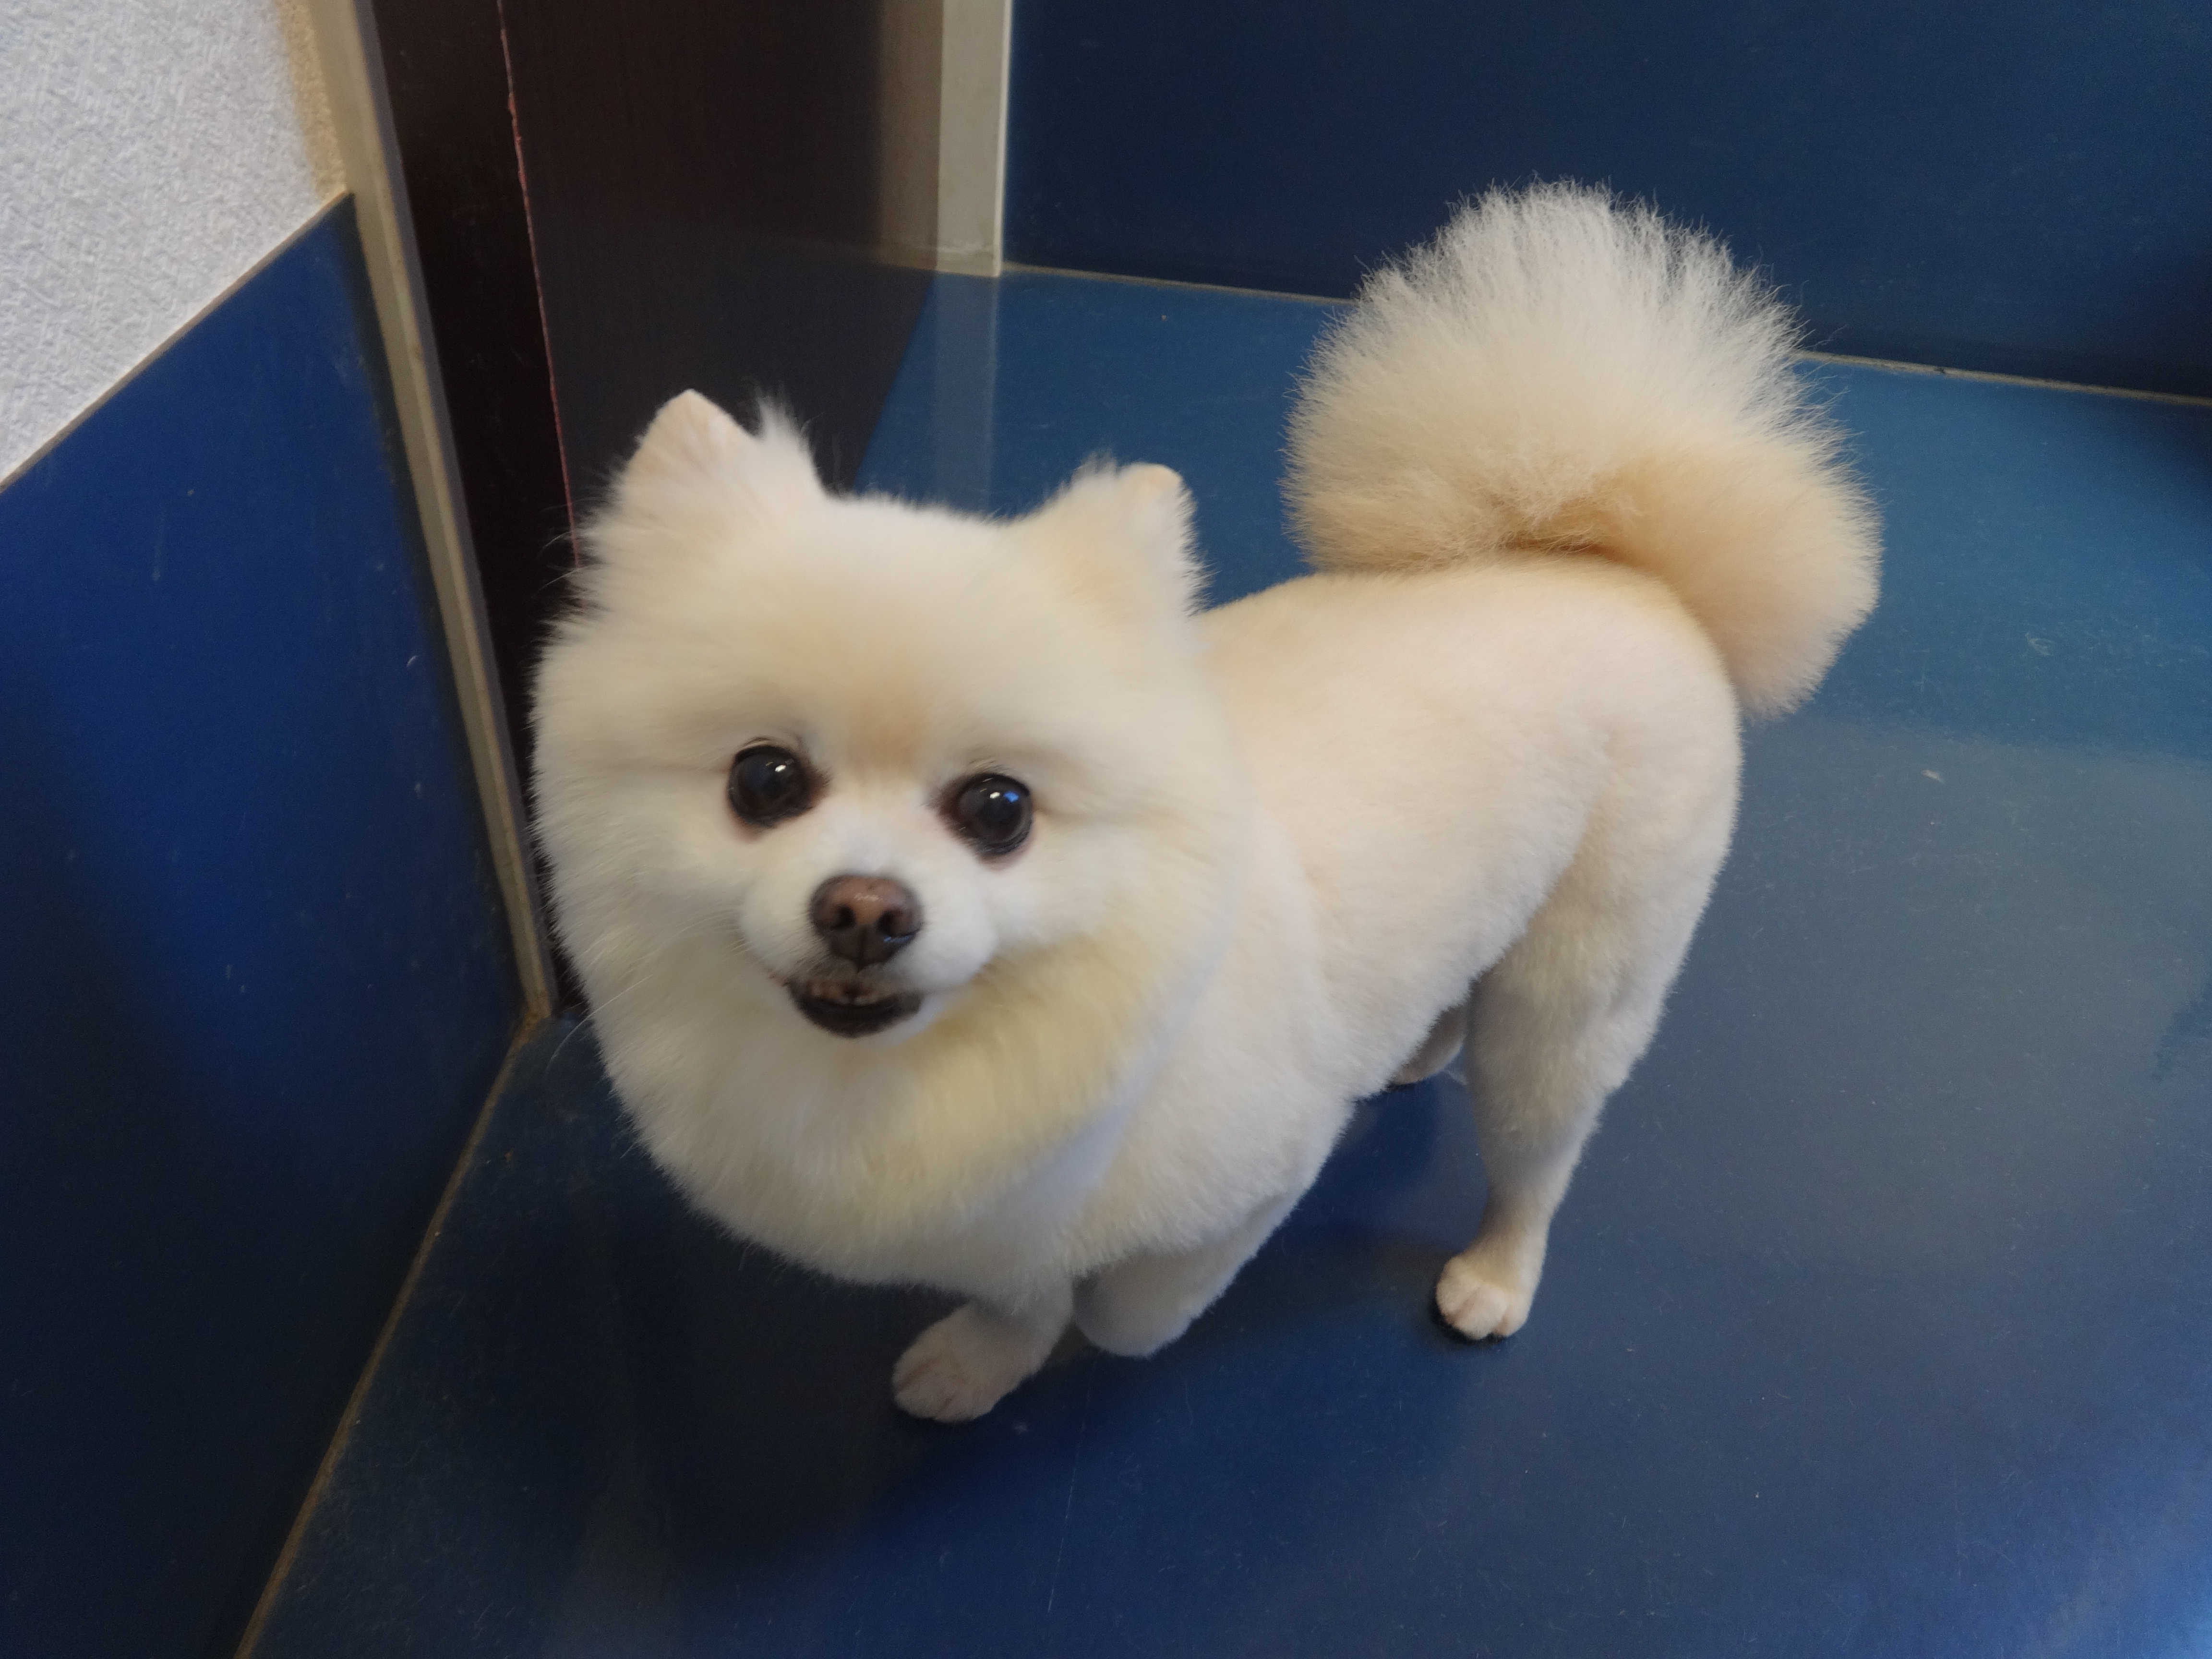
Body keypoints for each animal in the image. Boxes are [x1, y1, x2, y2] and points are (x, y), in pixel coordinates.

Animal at [531, 184, 1879, 1421]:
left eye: (999, 808)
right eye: (764, 781)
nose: (865, 908)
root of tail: (1607, 561)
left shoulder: (1256, 1170)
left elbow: (1130, 1305)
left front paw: (1098, 1330)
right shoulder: (993, 1215)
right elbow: (1016, 1285)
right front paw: (988, 1355)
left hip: (1579, 983)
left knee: (1537, 1149)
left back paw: (1498, 1269)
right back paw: (1419, 1045)